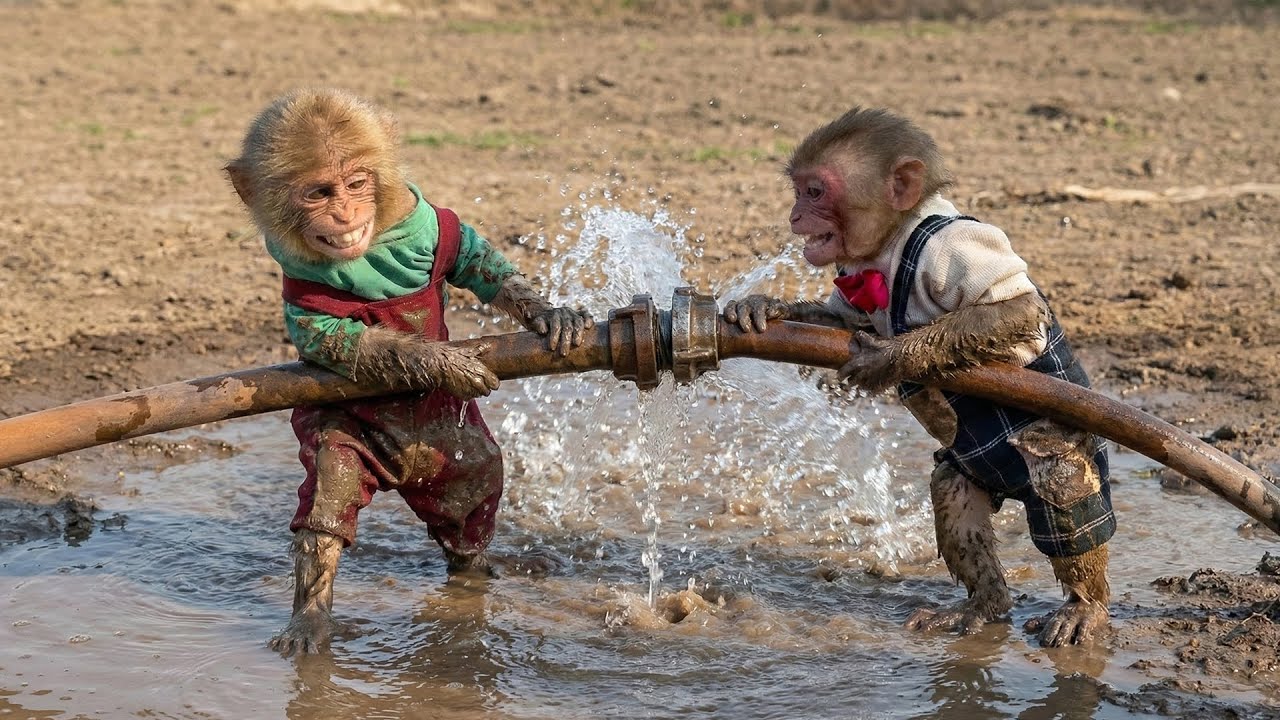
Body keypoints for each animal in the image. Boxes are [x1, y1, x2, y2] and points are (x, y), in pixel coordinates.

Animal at [225, 88, 593, 656]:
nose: (345, 213)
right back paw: (311, 618)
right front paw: (446, 364)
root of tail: (405, 470)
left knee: (470, 501)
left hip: (458, 452)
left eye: (356, 184)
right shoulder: (300, 294)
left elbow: (476, 259)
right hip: (349, 438)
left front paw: (546, 313)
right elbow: (342, 345)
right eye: (319, 193)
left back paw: (475, 572)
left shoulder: (426, 223)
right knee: (330, 501)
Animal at [722, 107, 1113, 647]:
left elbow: (1015, 307)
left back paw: (1084, 606)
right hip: (970, 473)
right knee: (951, 489)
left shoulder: (952, 250)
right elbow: (839, 320)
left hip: (1065, 437)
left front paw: (890, 358)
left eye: (815, 192)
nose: (794, 216)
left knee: (1061, 482)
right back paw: (984, 605)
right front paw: (764, 306)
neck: (892, 245)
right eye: (798, 190)